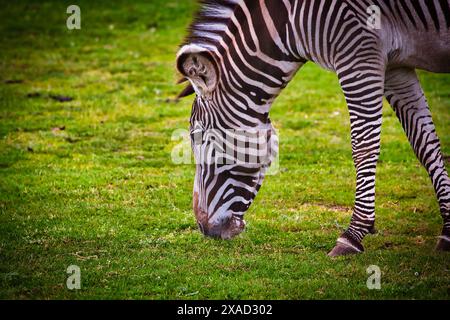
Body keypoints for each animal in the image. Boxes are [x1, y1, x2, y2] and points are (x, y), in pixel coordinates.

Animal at [175, 0, 450, 256]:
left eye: (199, 137)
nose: (205, 230)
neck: (290, 22)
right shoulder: (395, 66)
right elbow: (424, 143)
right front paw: (448, 231)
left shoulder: (360, 55)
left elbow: (363, 146)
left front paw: (353, 235)